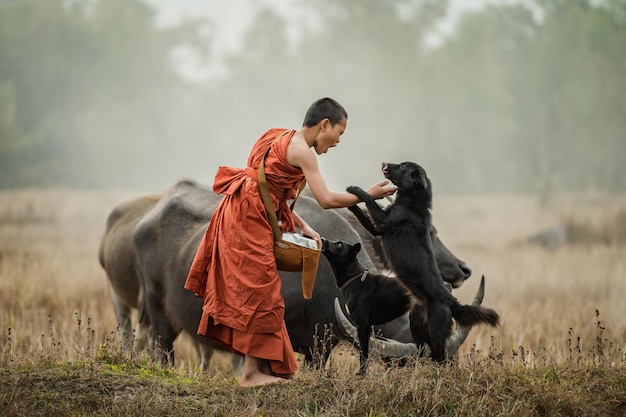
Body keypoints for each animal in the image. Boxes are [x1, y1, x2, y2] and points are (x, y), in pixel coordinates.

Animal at [344, 161, 500, 362]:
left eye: (402, 166)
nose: (385, 163)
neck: (412, 202)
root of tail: (451, 302)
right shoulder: (376, 228)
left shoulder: (383, 222)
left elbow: (370, 200)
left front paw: (356, 189)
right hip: (417, 326)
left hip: (436, 333)